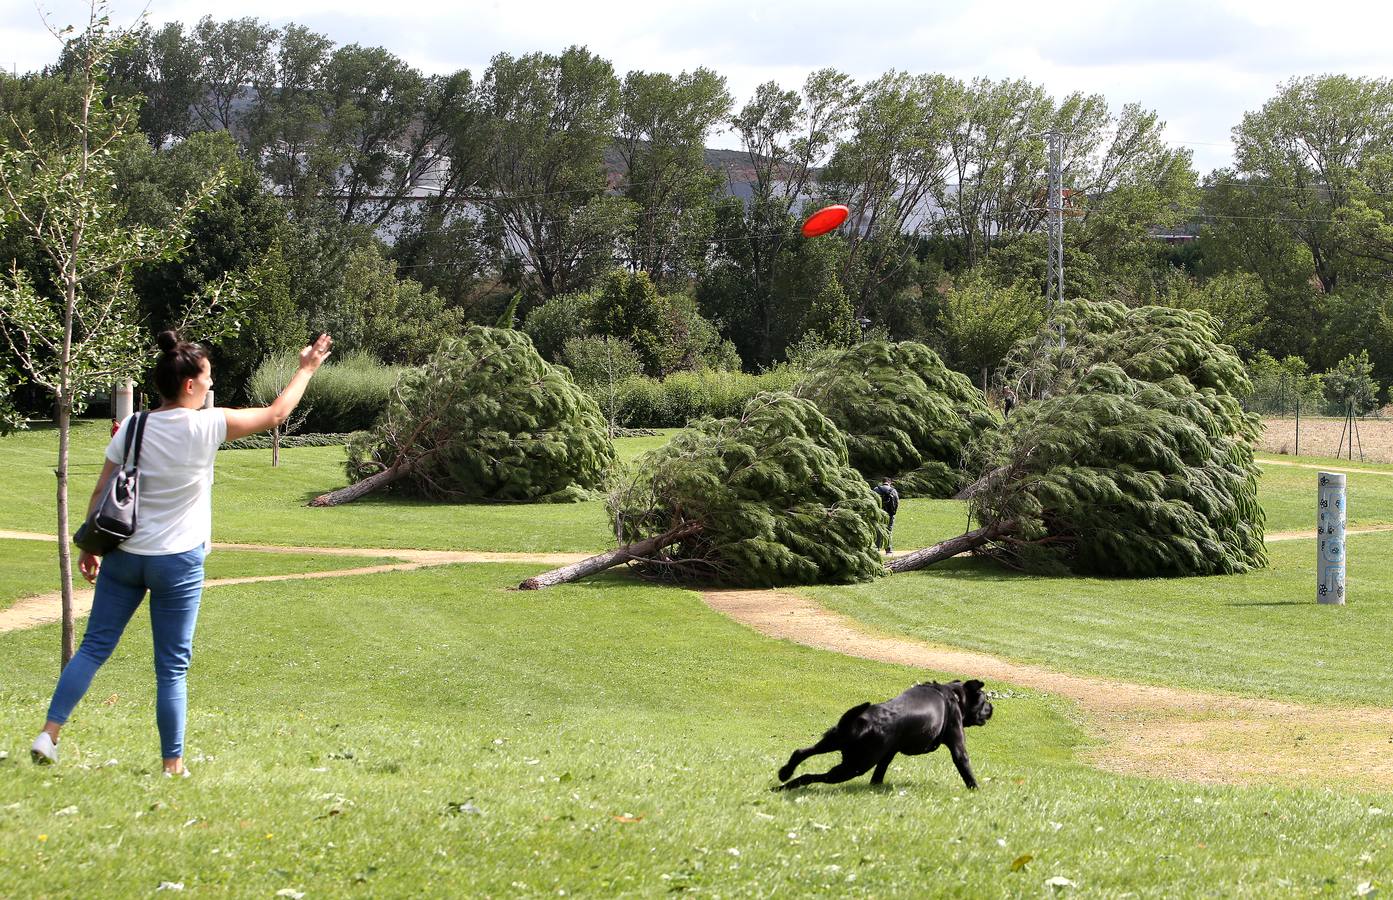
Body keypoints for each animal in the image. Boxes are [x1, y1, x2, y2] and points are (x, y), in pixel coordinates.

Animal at [780, 679, 997, 791]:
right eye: (984, 700)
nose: (992, 708)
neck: (954, 695)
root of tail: (860, 721)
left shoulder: (889, 752)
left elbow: (881, 770)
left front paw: (876, 785)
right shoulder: (958, 745)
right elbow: (965, 767)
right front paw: (976, 791)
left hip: (832, 741)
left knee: (801, 751)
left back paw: (784, 775)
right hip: (854, 766)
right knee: (813, 776)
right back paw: (787, 785)